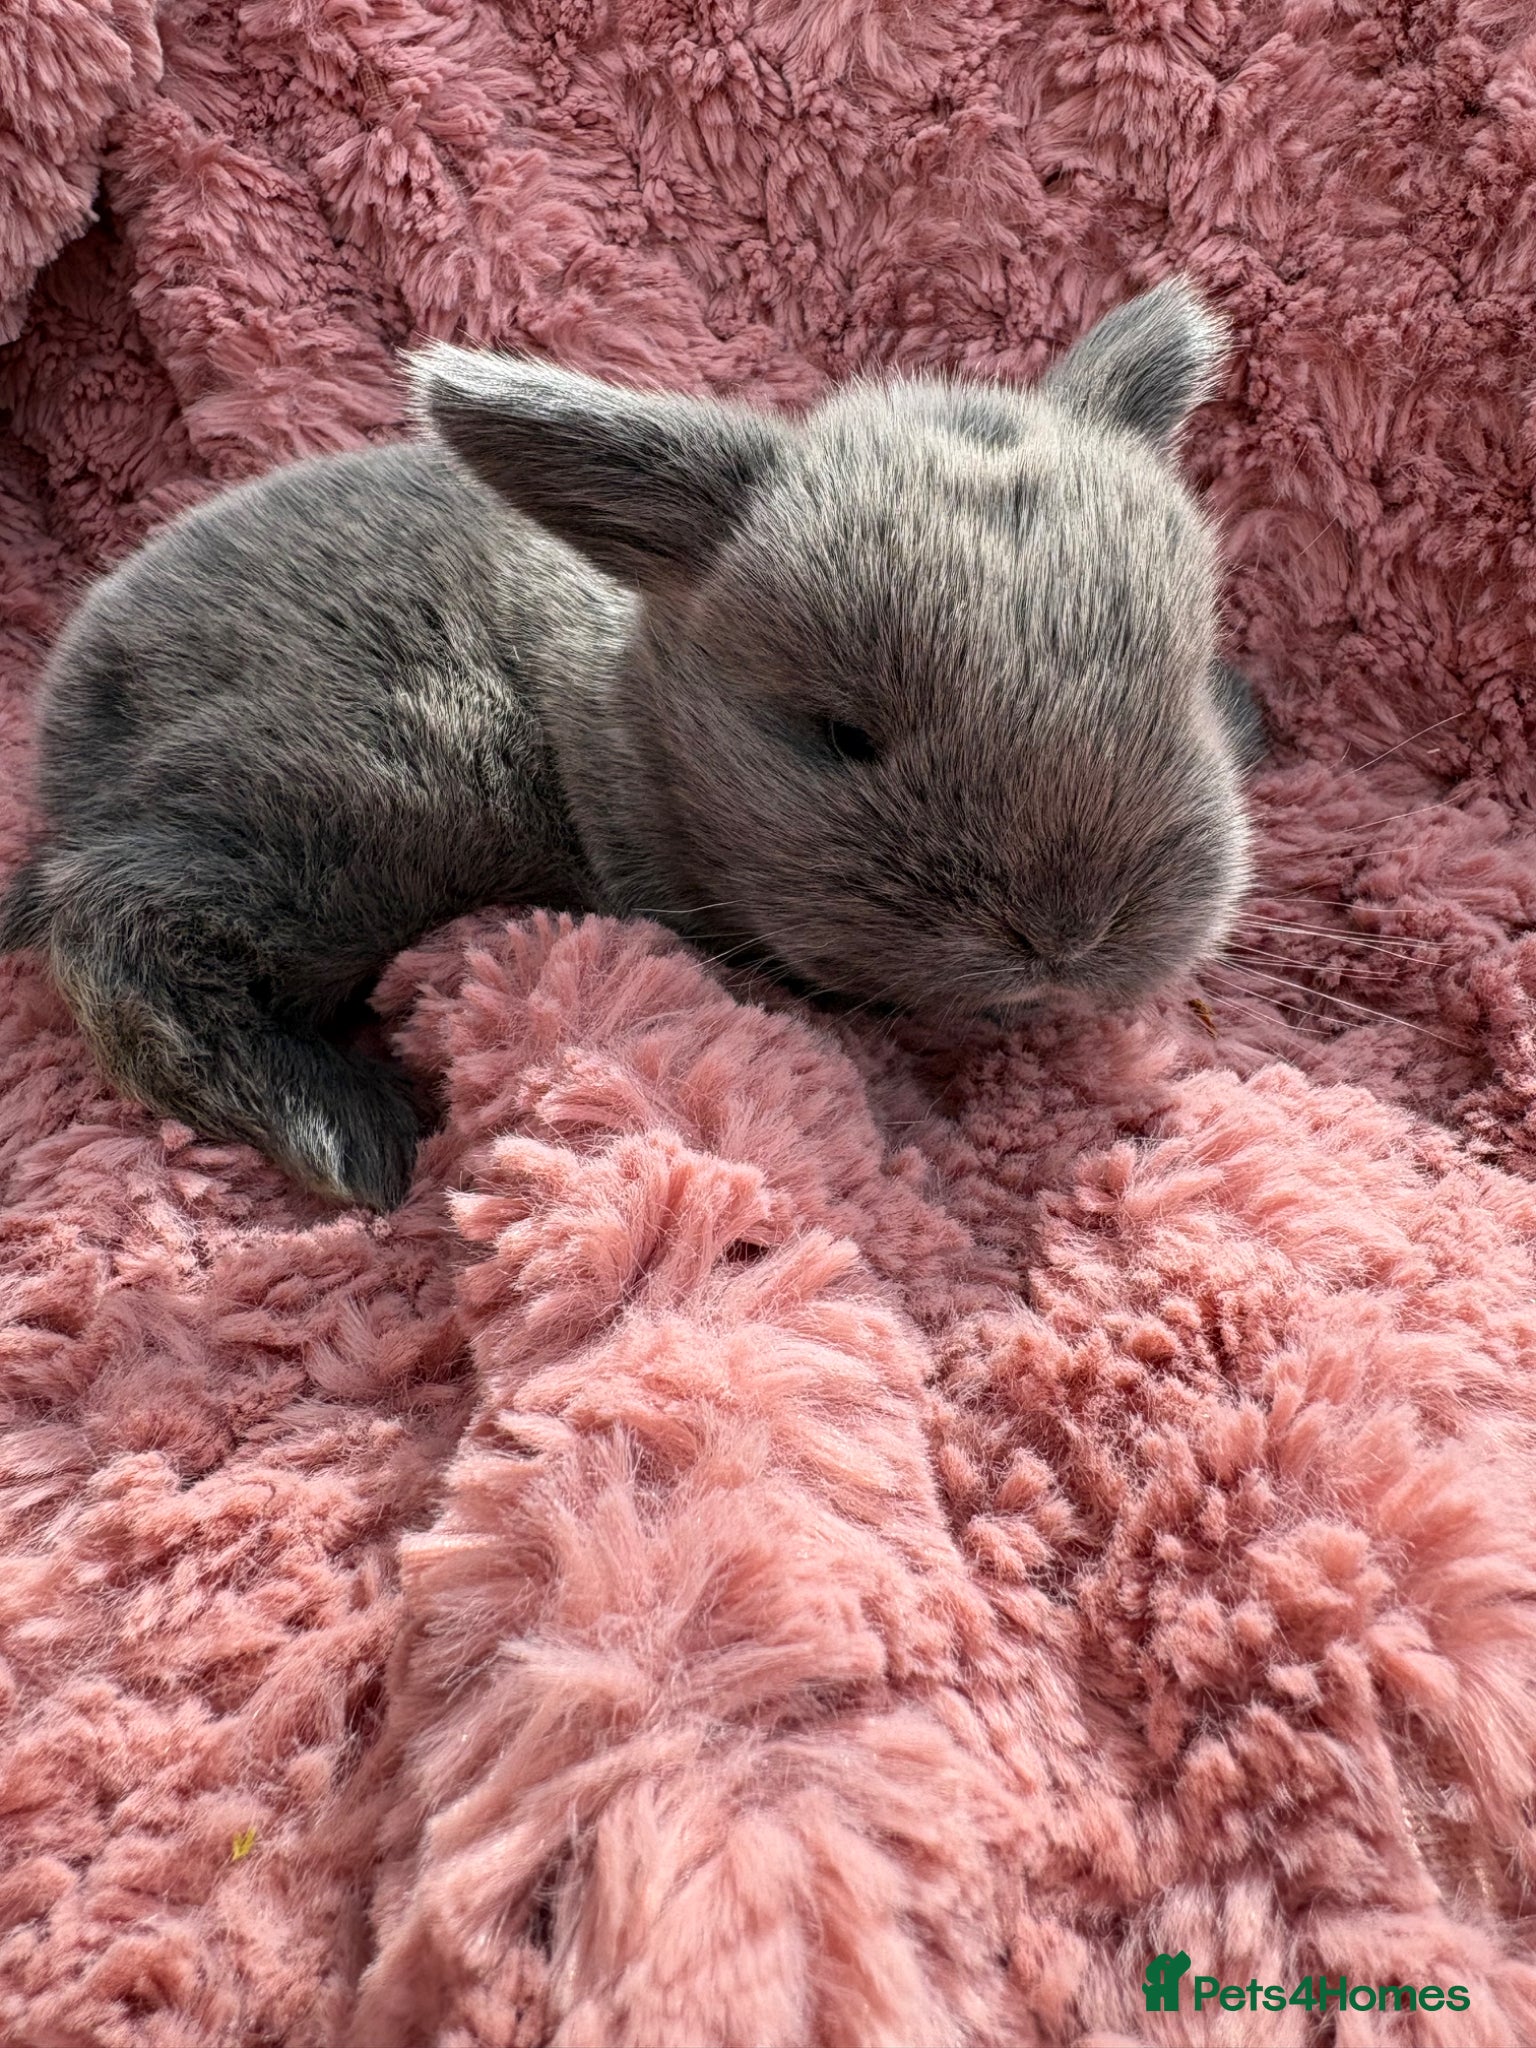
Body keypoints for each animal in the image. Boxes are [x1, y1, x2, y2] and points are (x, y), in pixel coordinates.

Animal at [0, 278, 1261, 1211]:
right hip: (373, 796)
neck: (633, 717)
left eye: (1186, 684)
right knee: (115, 928)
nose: (1068, 938)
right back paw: (351, 1132)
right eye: (843, 734)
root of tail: (77, 728)